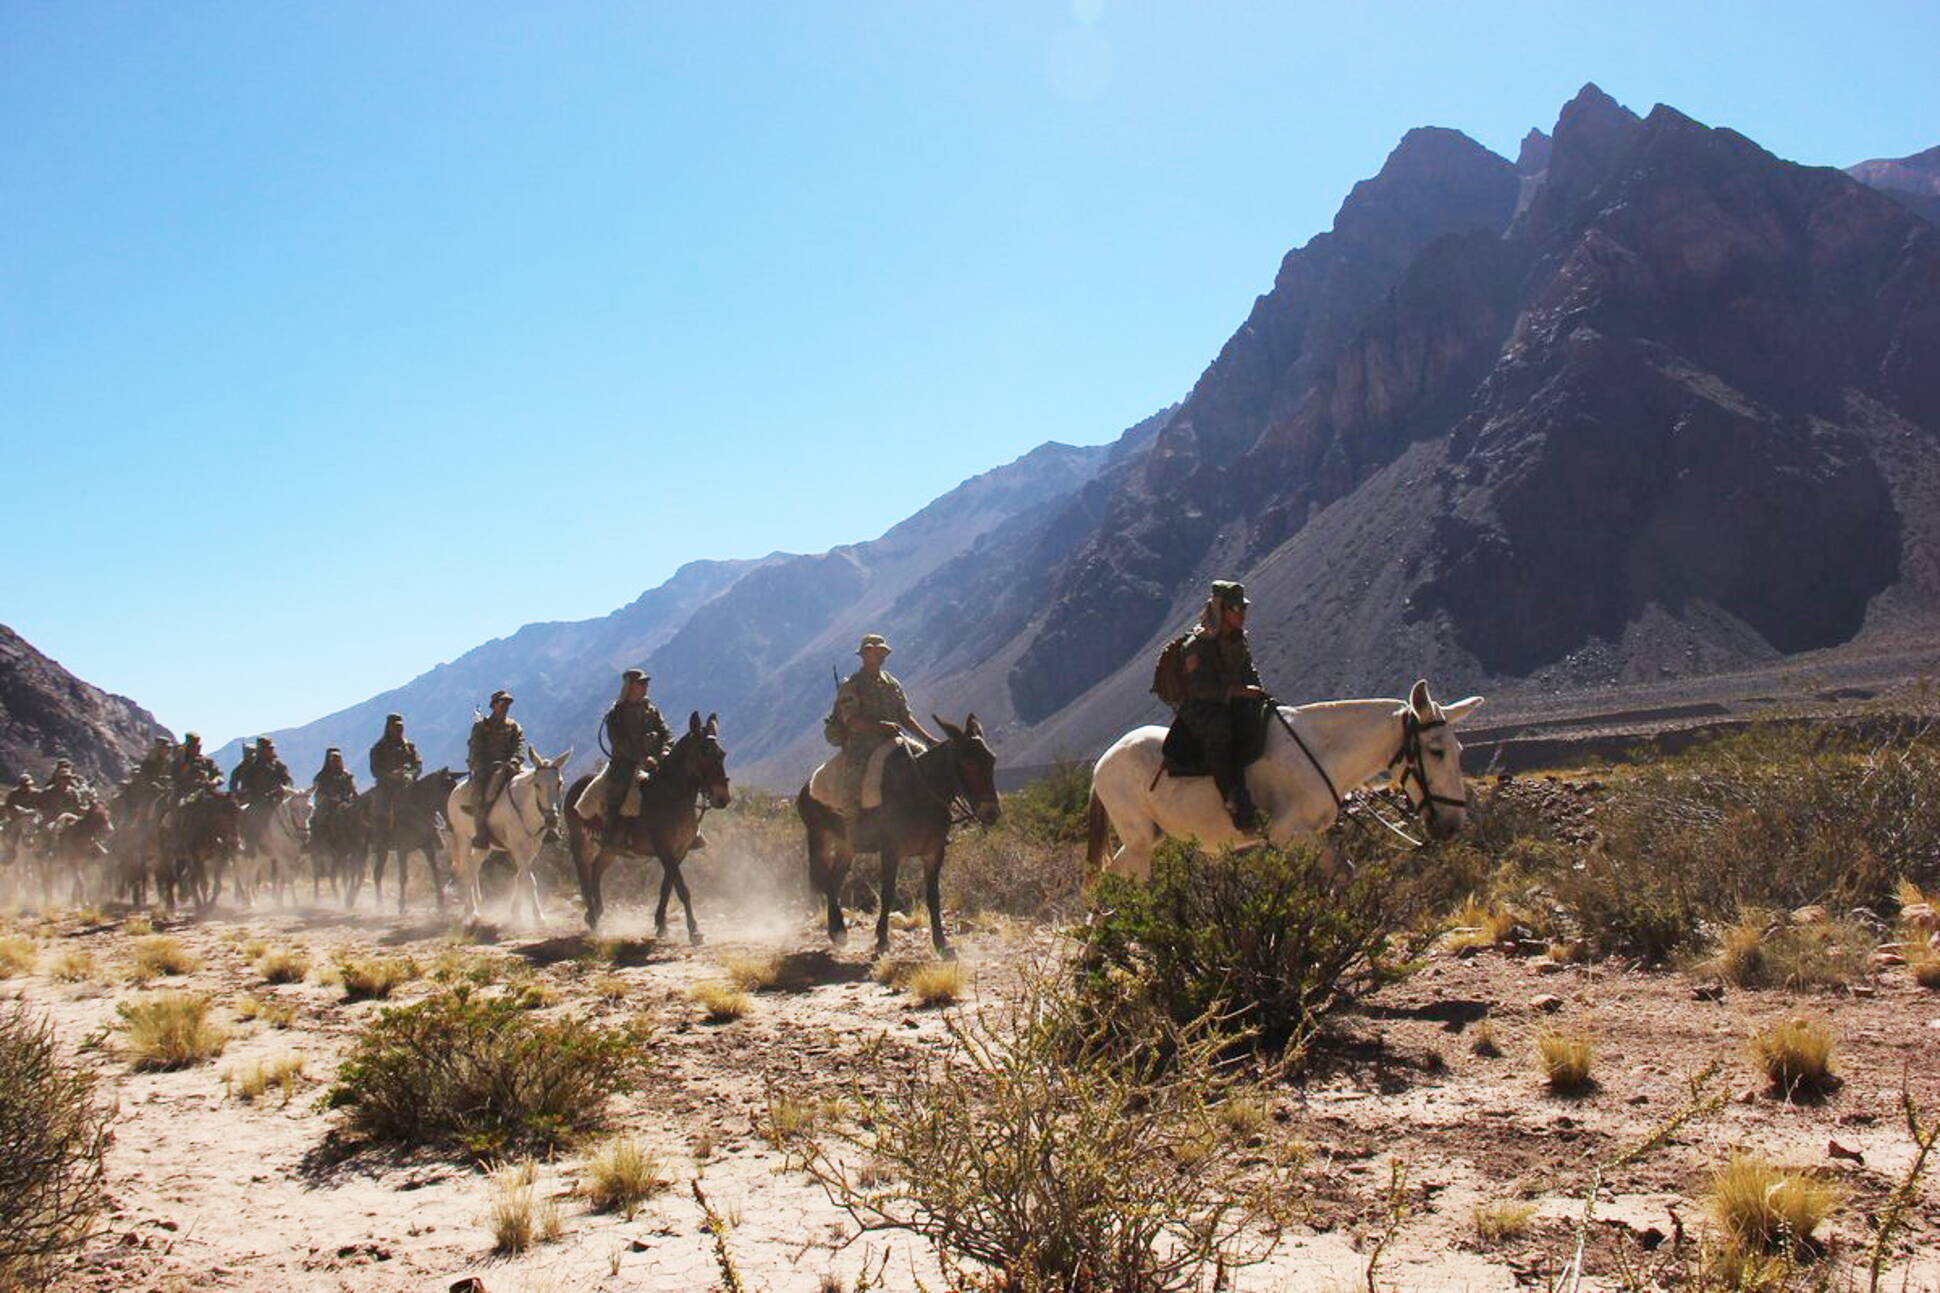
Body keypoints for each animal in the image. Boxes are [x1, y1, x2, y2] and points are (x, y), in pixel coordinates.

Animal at [795, 714, 1001, 955]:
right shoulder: (891, 851)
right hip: (820, 836)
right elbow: (888, 893)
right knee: (825, 881)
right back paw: (838, 932)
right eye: (969, 762)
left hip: (847, 846)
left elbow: (933, 896)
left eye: (992, 760)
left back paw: (837, 932)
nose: (991, 812)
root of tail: (806, 786)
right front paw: (882, 941)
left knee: (833, 881)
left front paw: (941, 944)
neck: (920, 791)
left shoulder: (934, 852)